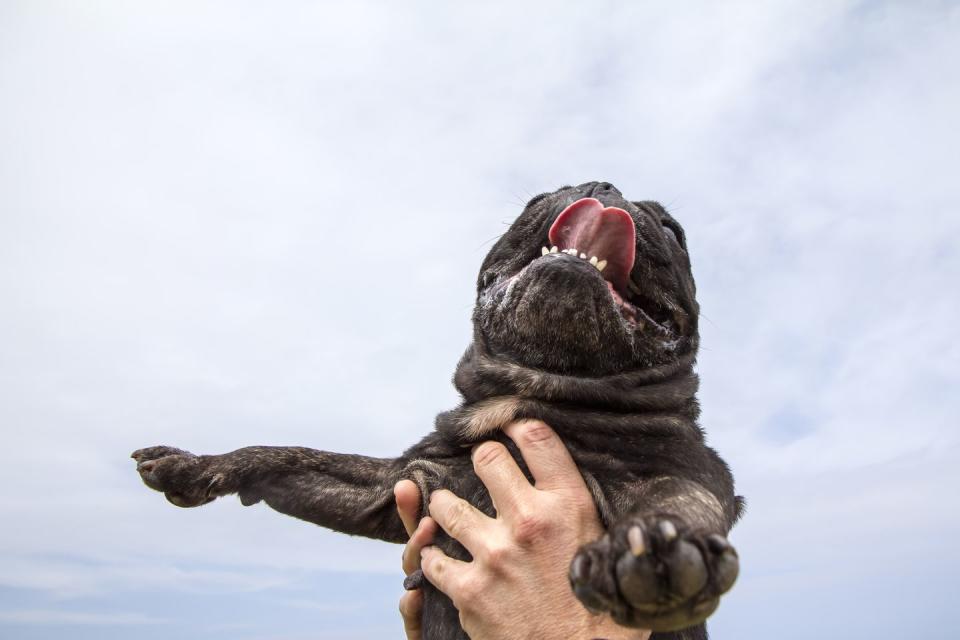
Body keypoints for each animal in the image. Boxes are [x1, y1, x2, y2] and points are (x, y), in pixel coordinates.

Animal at [131, 181, 740, 640]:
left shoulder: (689, 478)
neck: (541, 391)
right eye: (538, 197)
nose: (604, 186)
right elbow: (290, 456)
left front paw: (655, 552)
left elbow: (675, 505)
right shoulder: (399, 480)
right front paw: (194, 464)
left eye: (674, 231)